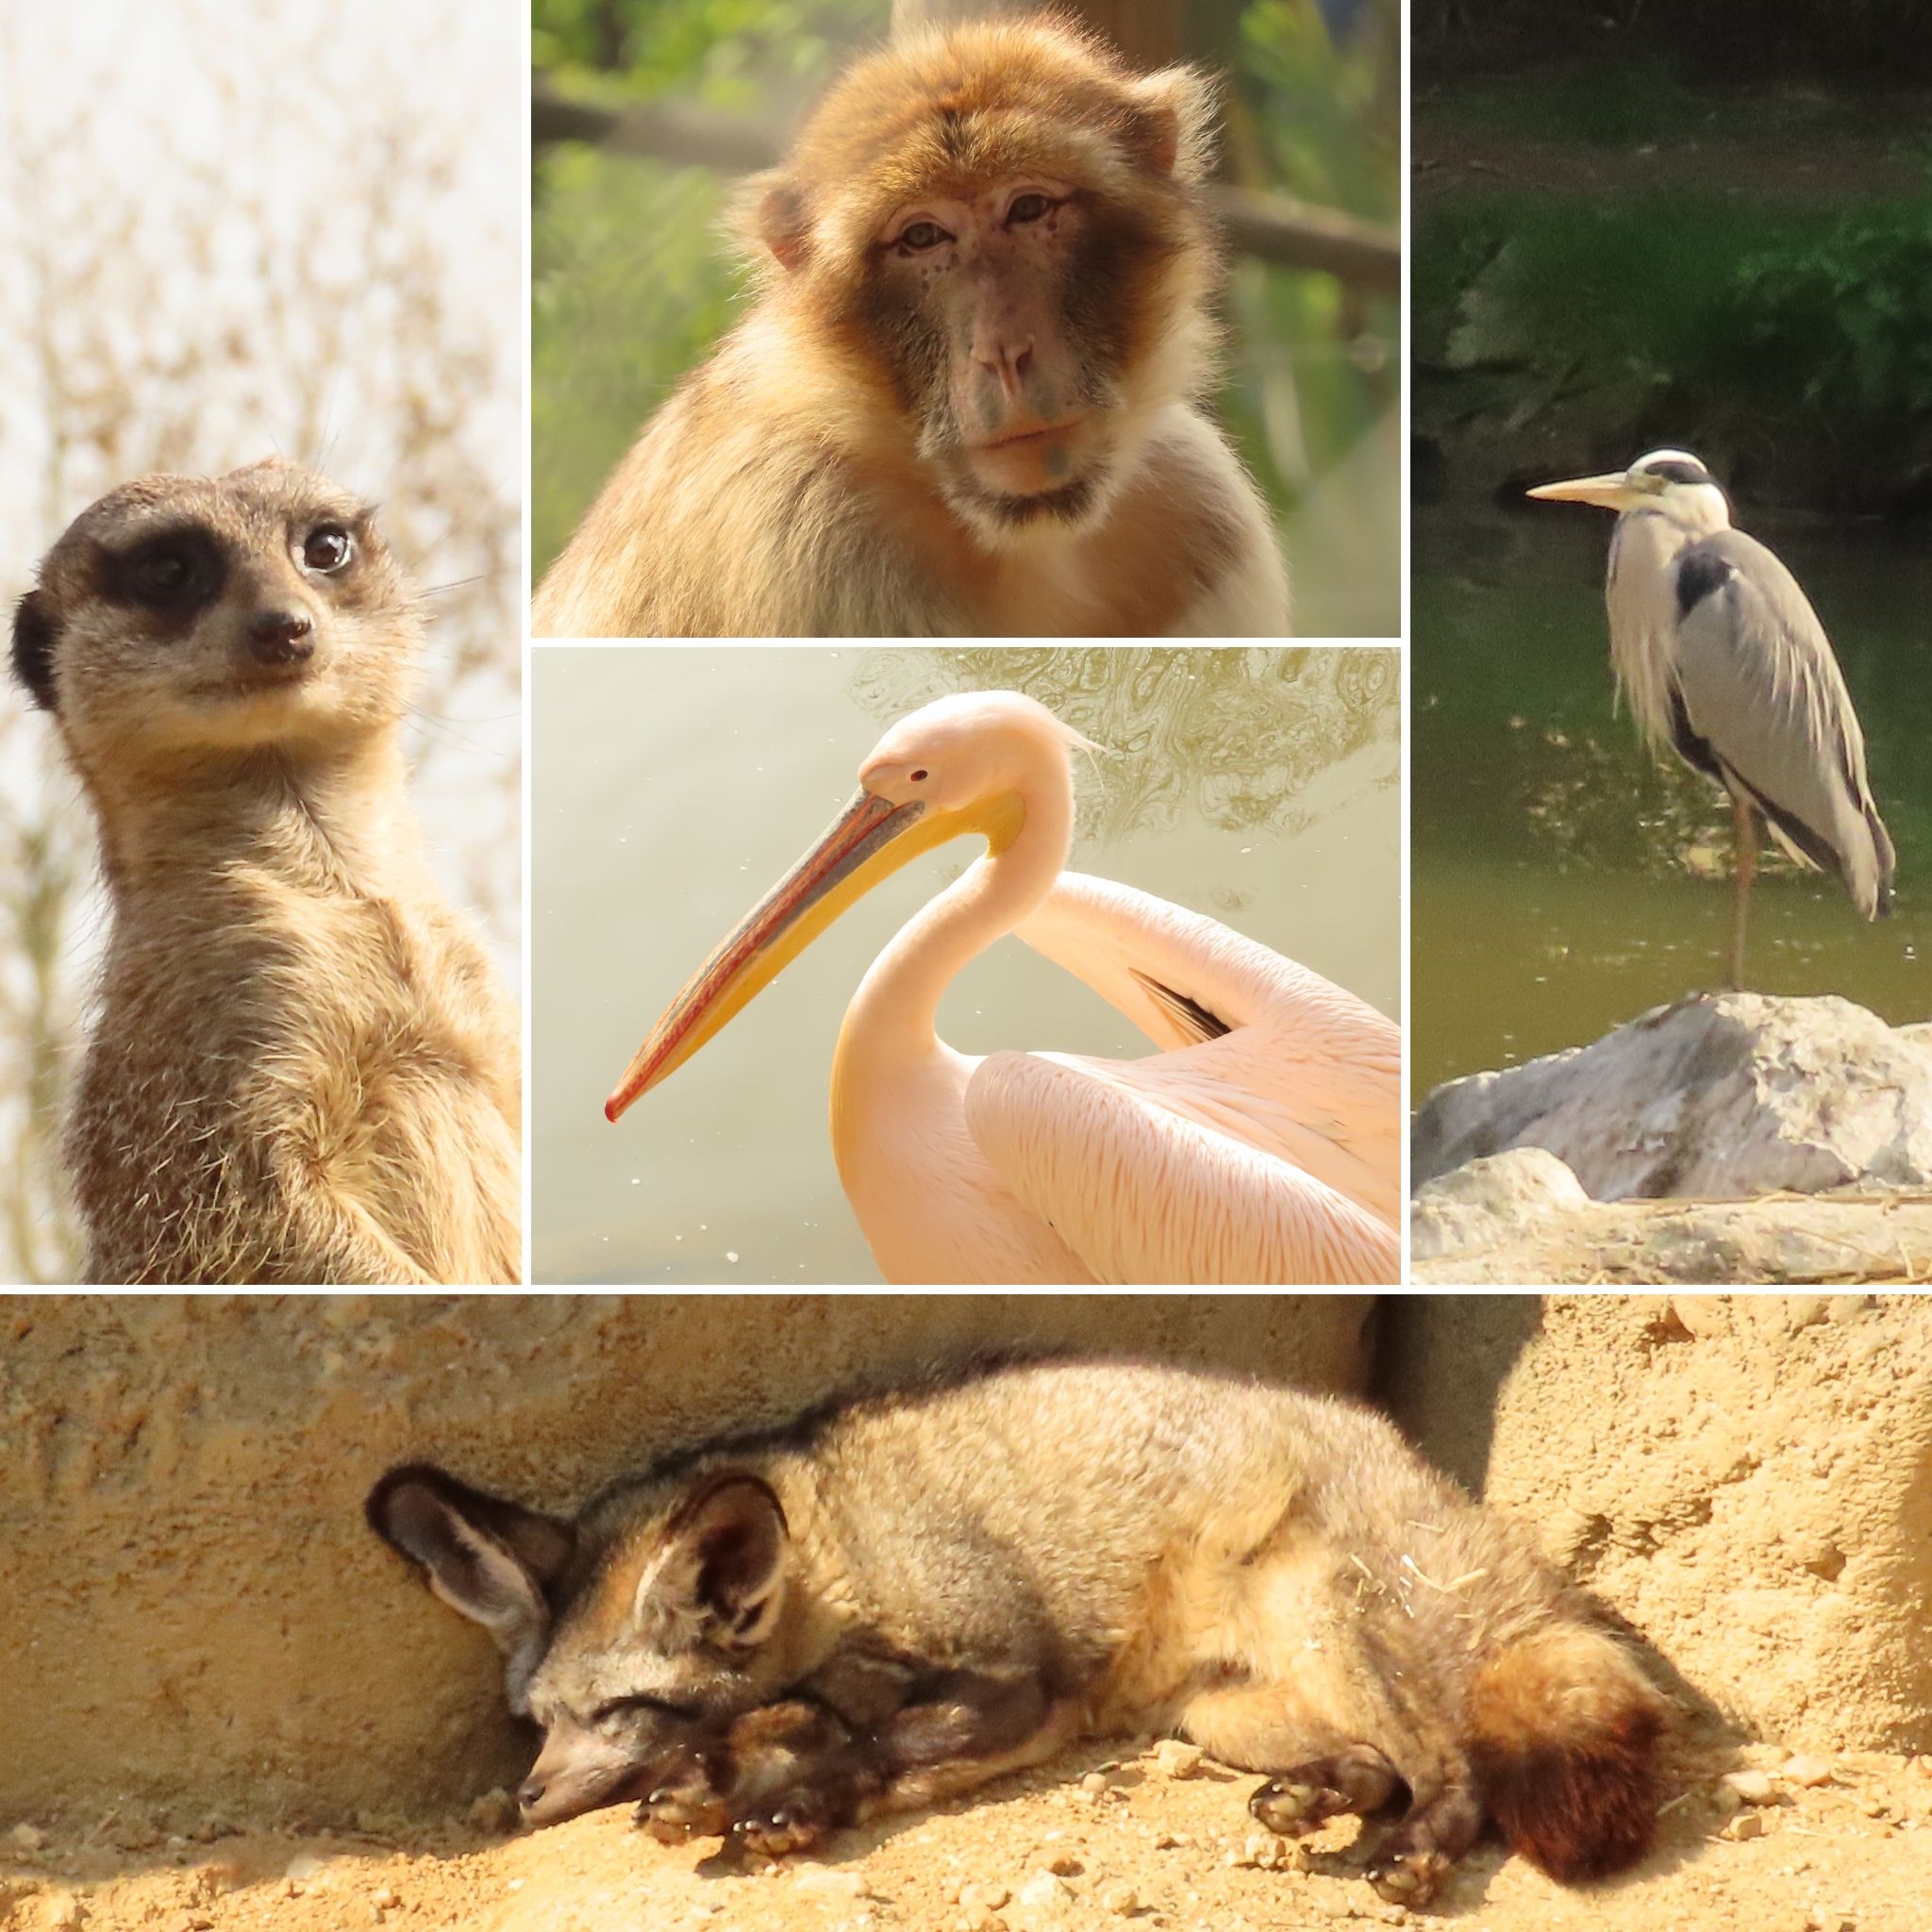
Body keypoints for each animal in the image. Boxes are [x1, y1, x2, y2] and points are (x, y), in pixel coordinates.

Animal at [10, 458, 521, 1284]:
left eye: (326, 546)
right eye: (169, 570)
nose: (284, 625)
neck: (343, 888)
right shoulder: (217, 1019)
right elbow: (258, 1221)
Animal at [365, 1356, 1664, 1907]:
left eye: (615, 1709)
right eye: (534, 1720)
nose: (526, 1797)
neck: (850, 1549)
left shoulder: (1018, 1688)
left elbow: (871, 1751)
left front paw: (782, 1804)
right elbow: (797, 1717)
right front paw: (714, 1776)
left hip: (1316, 1621)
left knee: (1450, 1767)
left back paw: (1420, 1846)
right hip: (1223, 1710)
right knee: (1376, 1761)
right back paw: (1321, 1797)